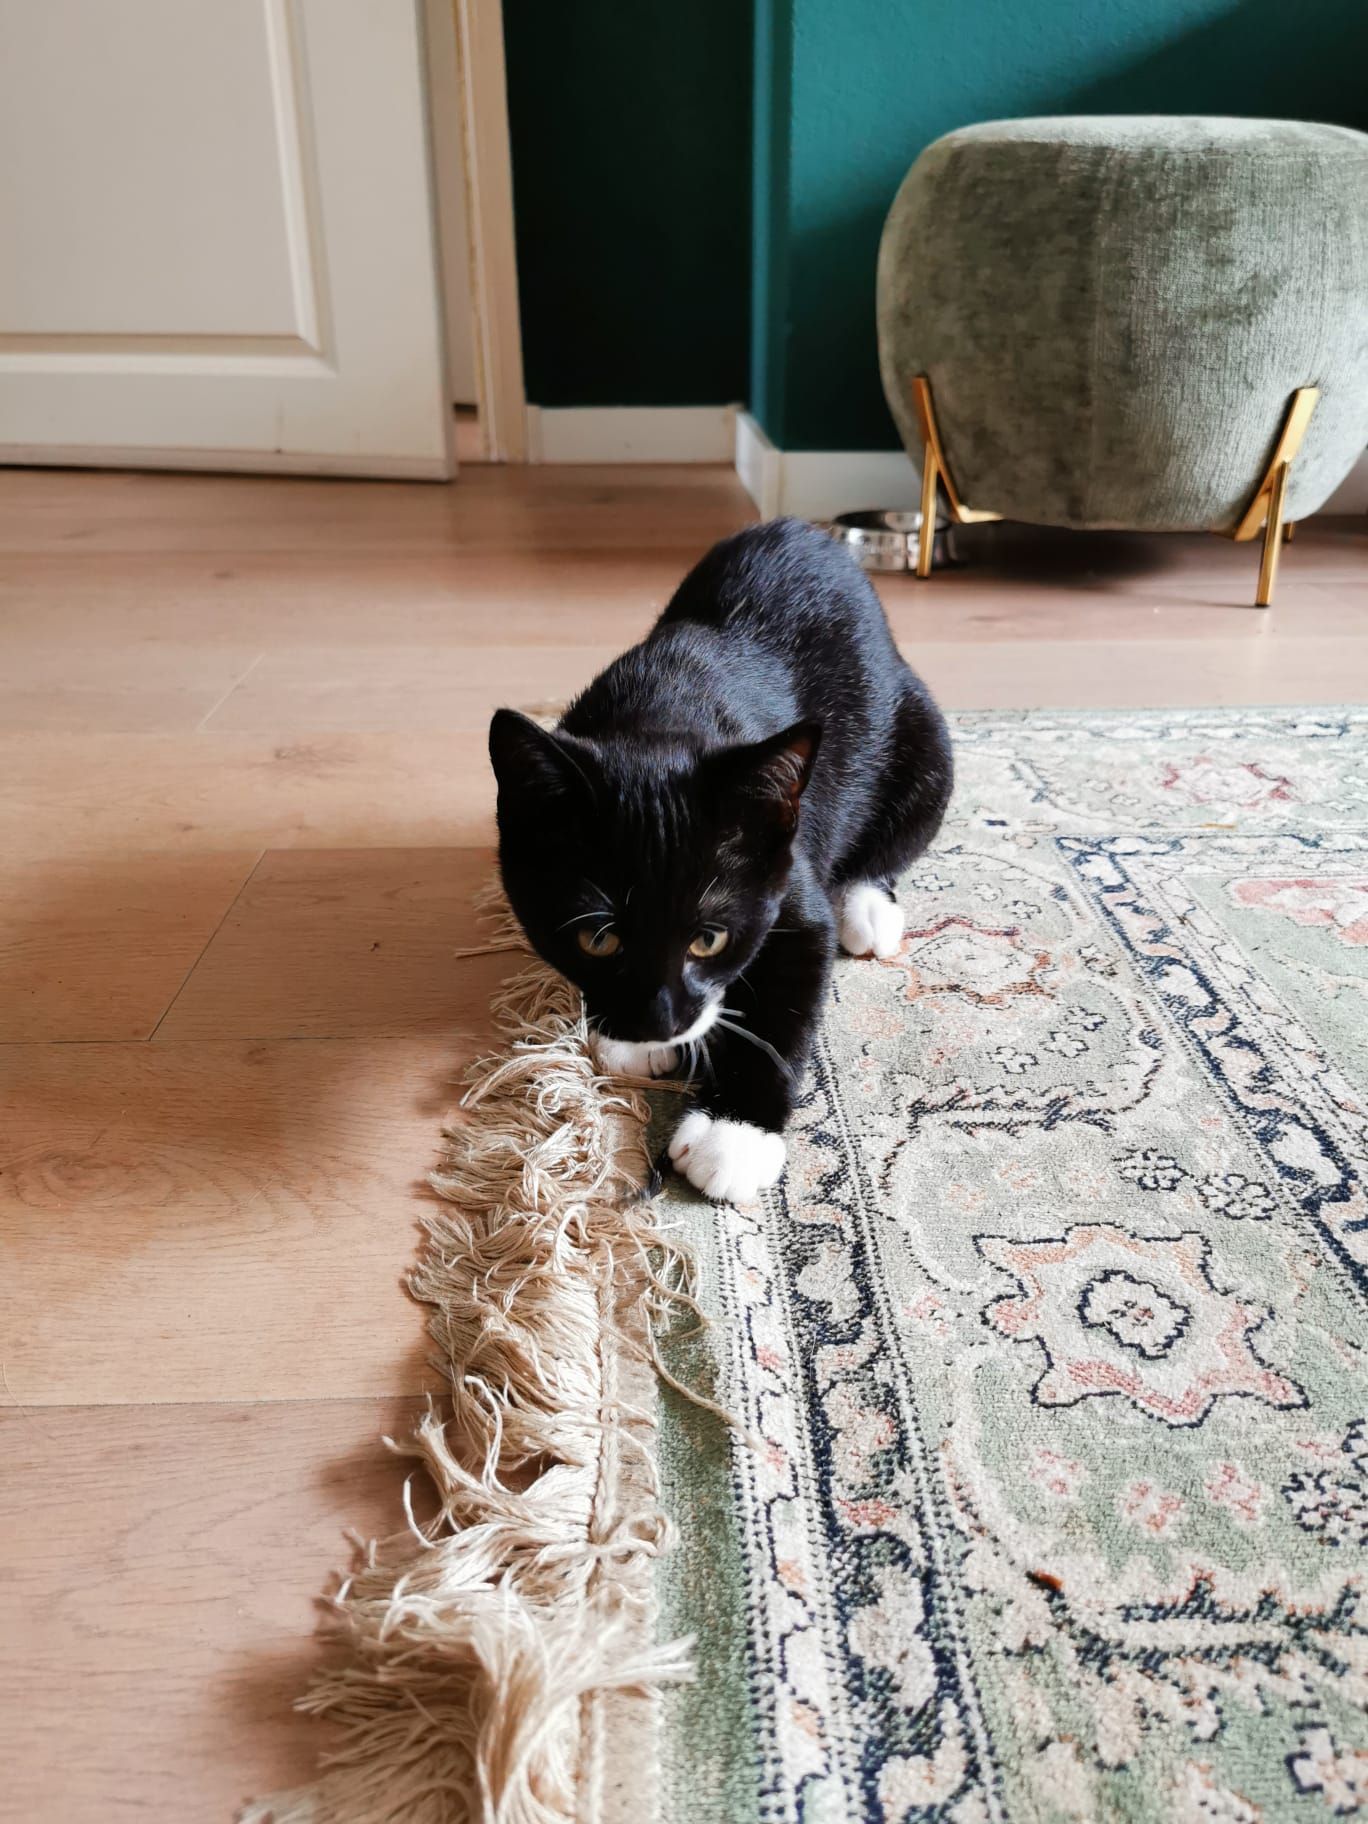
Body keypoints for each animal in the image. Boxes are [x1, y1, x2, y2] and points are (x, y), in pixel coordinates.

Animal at [488, 516, 953, 1206]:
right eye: (598, 941)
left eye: (708, 940)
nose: (659, 1022)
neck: (661, 713)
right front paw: (625, 1042)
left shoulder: (790, 870)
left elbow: (789, 996)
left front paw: (733, 1136)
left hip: (923, 731)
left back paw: (867, 906)